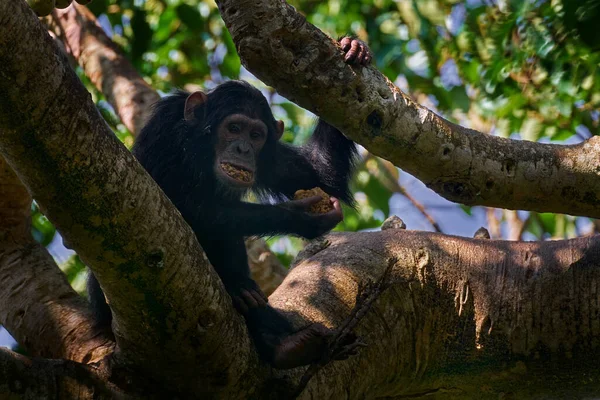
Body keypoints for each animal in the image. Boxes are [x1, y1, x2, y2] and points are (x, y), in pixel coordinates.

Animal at [88, 37, 370, 368]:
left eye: (256, 134)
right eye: (233, 128)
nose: (243, 148)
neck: (199, 145)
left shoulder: (270, 156)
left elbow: (318, 174)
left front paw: (353, 49)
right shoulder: (166, 130)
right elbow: (166, 207)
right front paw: (300, 217)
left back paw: (286, 342)